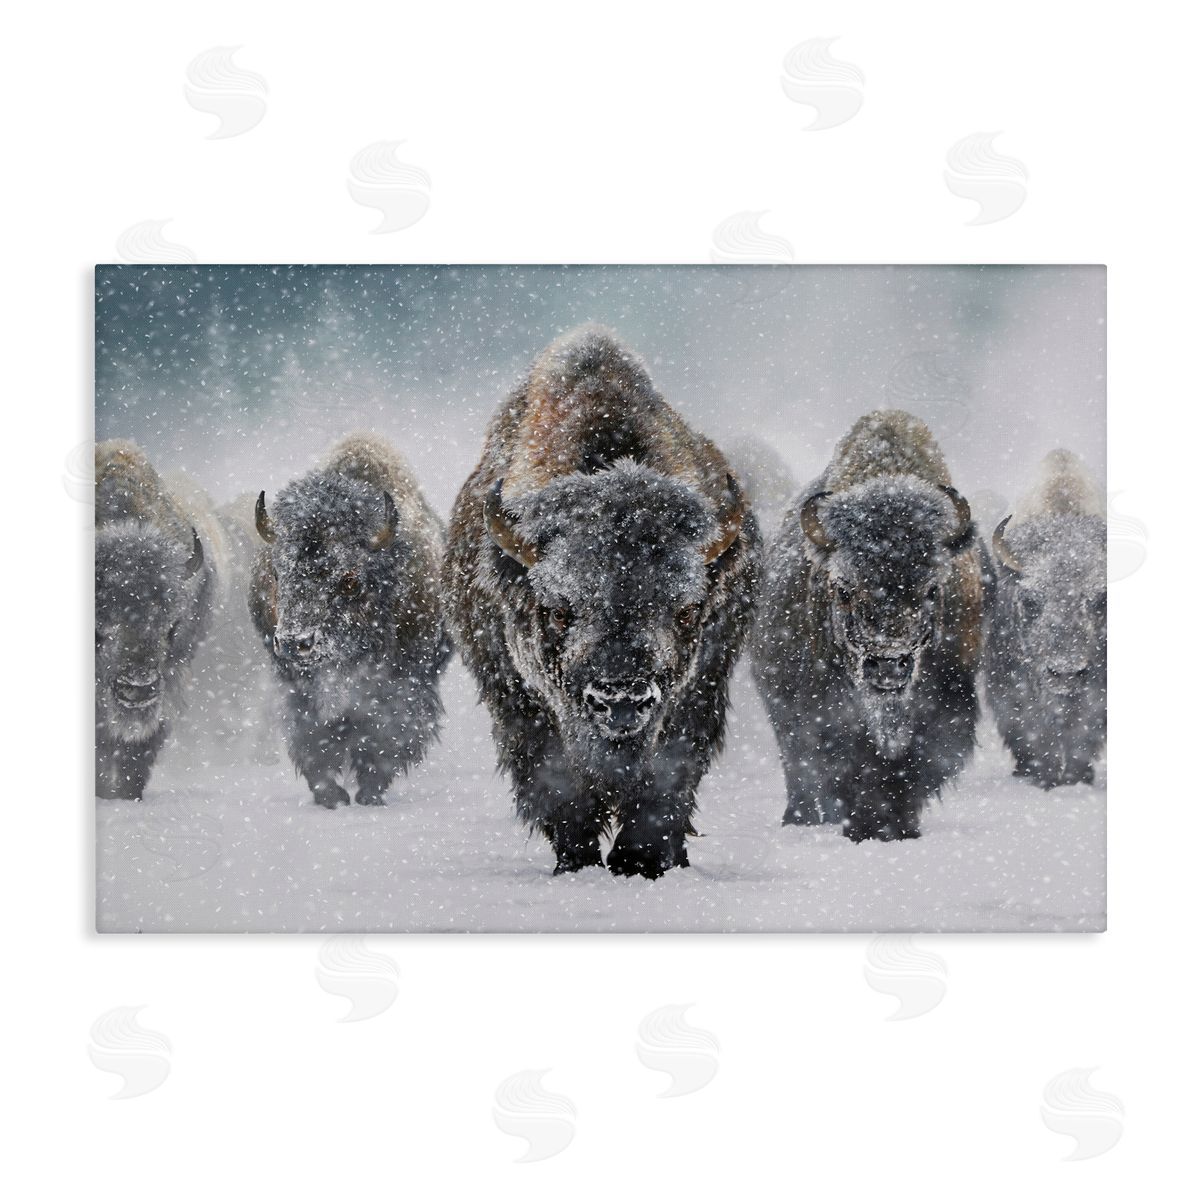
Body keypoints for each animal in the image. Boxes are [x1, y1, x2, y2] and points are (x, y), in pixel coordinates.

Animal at [249, 435, 451, 808]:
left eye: (349, 580)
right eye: (278, 573)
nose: (295, 642)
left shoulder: (405, 683)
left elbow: (386, 736)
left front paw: (369, 792)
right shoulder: (297, 687)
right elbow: (312, 738)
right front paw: (331, 795)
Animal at [443, 327, 761, 878]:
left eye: (686, 610)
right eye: (558, 610)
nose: (621, 698)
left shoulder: (698, 693)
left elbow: (664, 783)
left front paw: (641, 861)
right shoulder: (522, 706)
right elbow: (559, 789)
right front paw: (578, 861)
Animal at [752, 410, 984, 841]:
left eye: (932, 588)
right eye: (844, 589)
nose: (888, 665)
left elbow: (912, 767)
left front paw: (897, 827)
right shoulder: (822, 710)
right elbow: (848, 763)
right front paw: (863, 826)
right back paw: (801, 817)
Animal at [986, 450, 1106, 788]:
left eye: (1101, 600)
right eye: (1030, 601)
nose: (1066, 673)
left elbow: (1083, 735)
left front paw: (1077, 777)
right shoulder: (1011, 687)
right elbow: (1034, 732)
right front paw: (1042, 776)